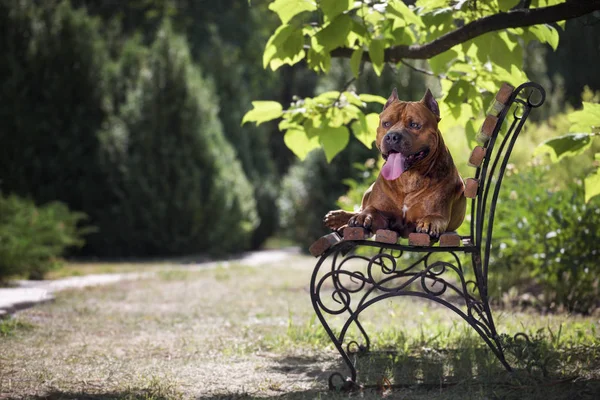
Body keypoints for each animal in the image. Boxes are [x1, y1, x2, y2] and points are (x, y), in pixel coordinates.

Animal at [326, 87, 466, 238]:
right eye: (386, 123)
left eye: (414, 125)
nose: (392, 136)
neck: (408, 178)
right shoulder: (381, 214)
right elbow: (370, 209)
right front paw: (362, 217)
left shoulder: (437, 213)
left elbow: (433, 217)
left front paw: (428, 223)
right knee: (361, 208)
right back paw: (339, 218)